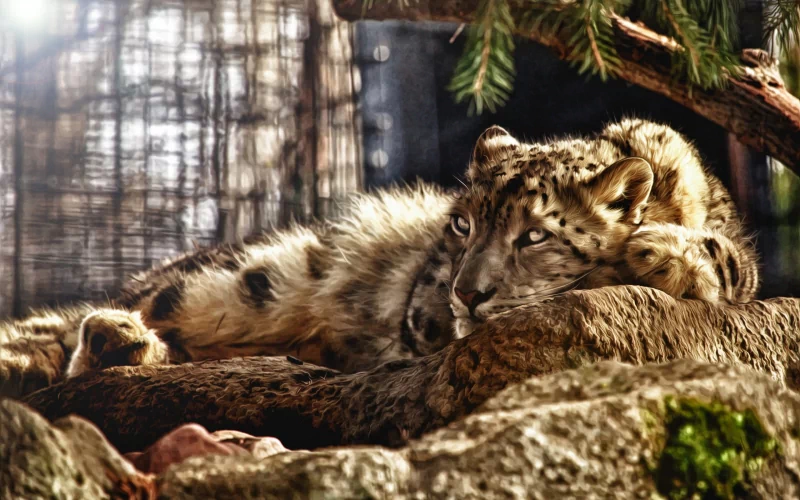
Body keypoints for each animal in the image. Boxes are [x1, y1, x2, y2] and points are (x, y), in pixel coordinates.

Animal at [0, 118, 759, 398]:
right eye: (461, 223)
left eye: (535, 236)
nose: (466, 294)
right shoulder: (420, 315)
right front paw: (651, 250)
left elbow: (733, 263)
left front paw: (665, 251)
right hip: (244, 281)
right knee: (81, 330)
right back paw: (111, 337)